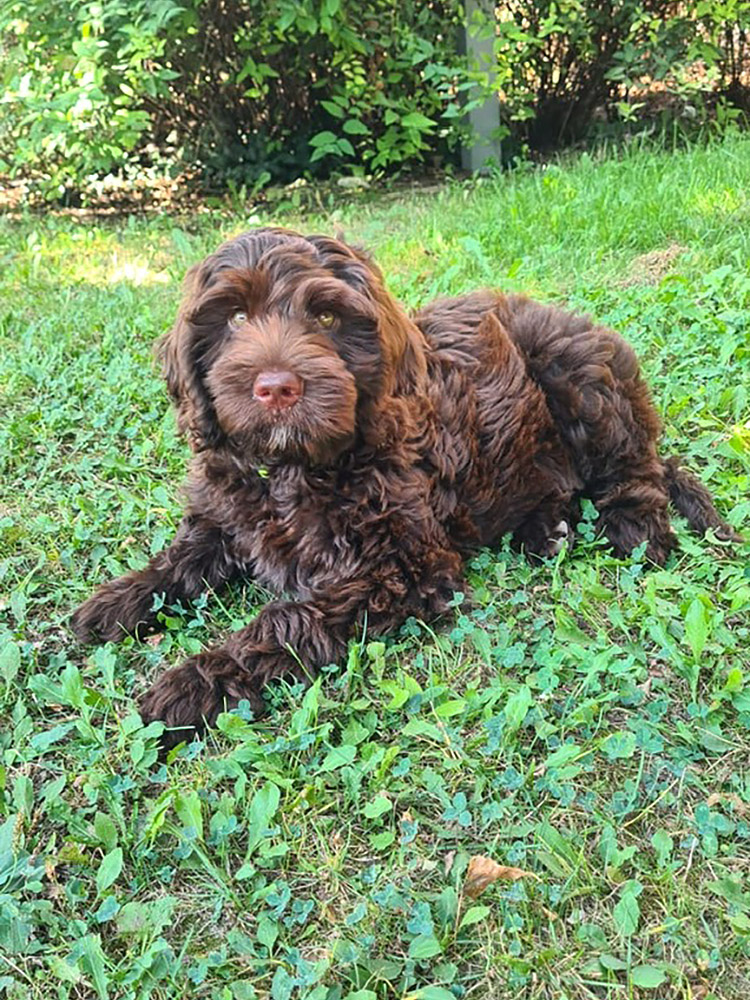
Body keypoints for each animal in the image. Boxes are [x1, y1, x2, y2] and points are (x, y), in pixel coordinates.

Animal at [70, 227, 740, 744]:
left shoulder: (395, 567)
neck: (297, 464)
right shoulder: (225, 514)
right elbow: (185, 557)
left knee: (635, 469)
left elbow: (284, 620)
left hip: (579, 378)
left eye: (326, 316)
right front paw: (119, 600)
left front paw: (191, 683)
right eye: (234, 317)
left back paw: (635, 530)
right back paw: (547, 530)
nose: (276, 387)